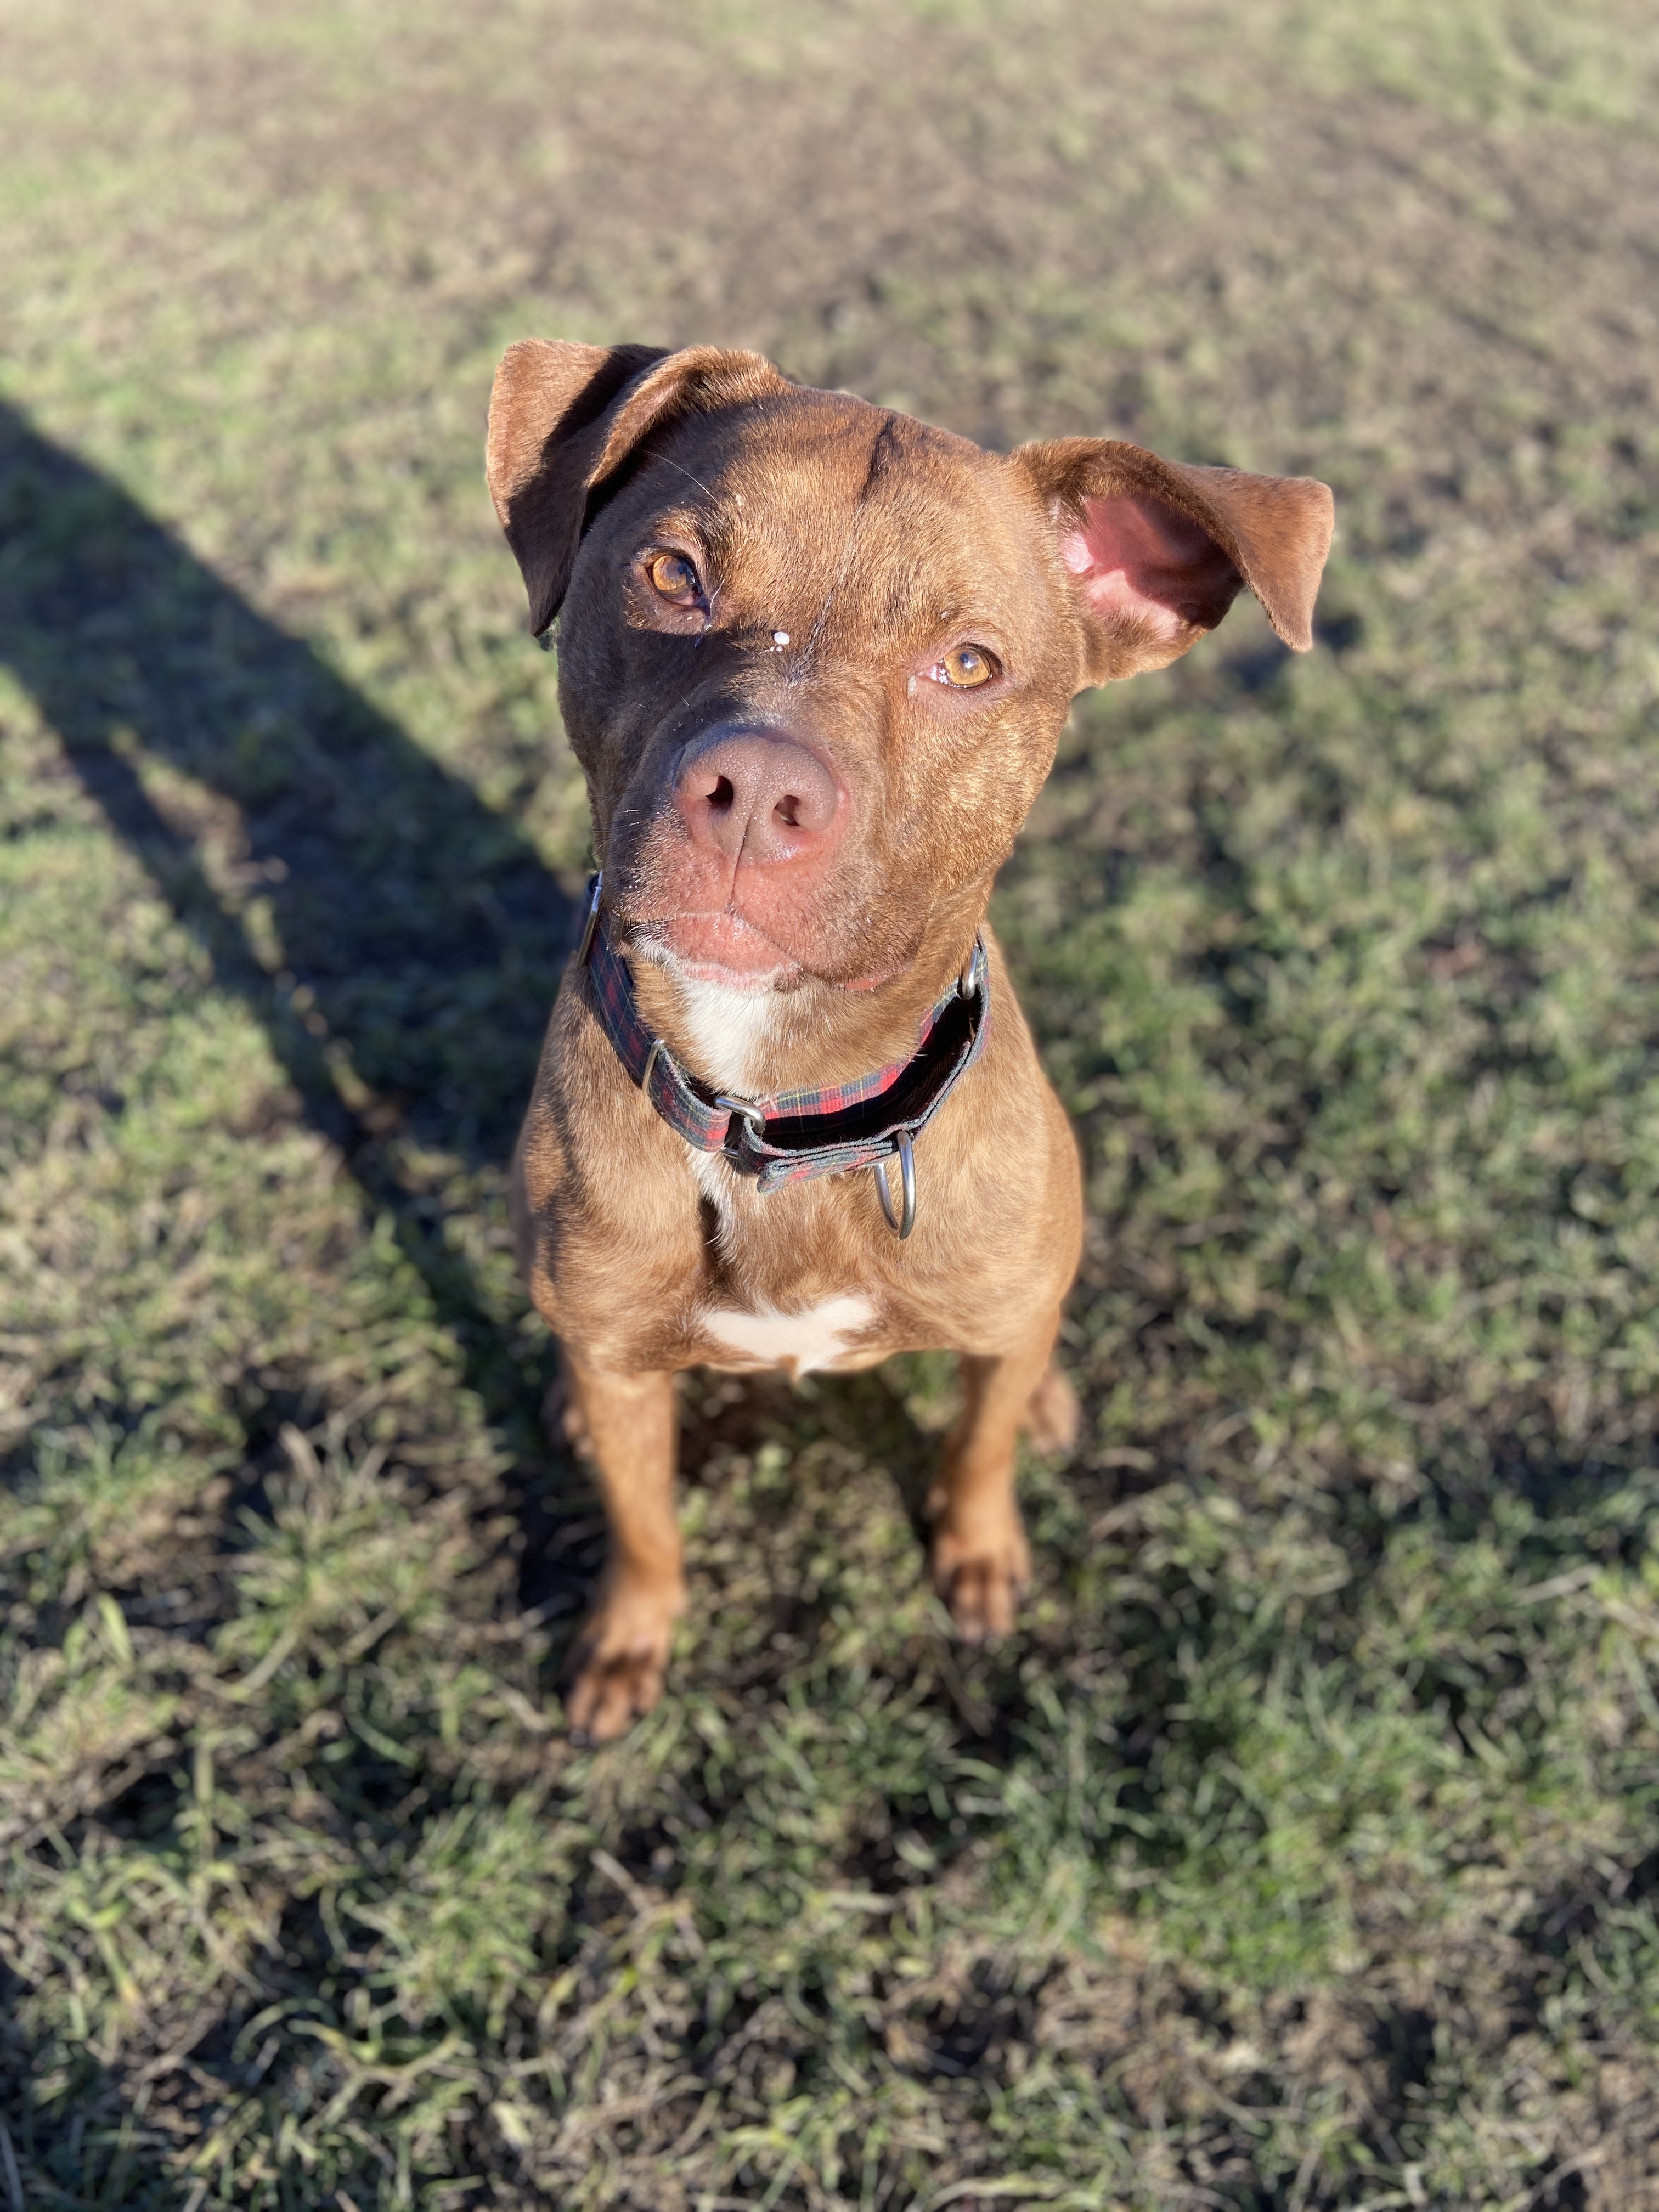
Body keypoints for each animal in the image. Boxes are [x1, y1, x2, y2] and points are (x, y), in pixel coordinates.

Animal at [484, 345, 1336, 1734]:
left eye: (970, 664)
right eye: (673, 575)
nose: (756, 793)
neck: (779, 1107)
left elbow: (977, 1447)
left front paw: (979, 1553)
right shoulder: (623, 1361)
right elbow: (643, 1516)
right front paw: (631, 1633)